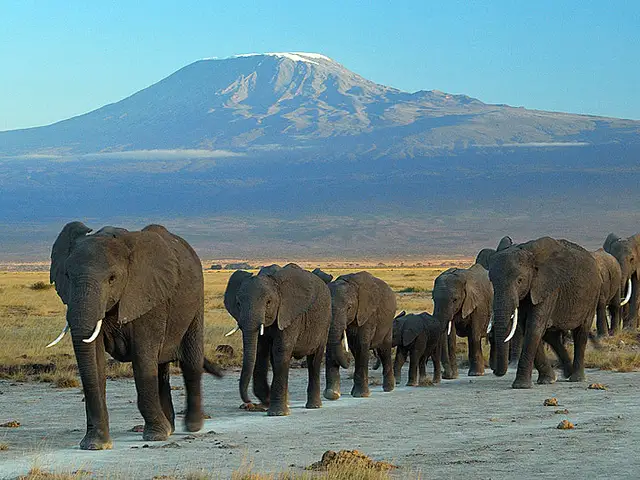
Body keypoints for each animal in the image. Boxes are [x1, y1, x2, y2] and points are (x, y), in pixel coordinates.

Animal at [48, 222, 222, 450]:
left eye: (112, 278)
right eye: (67, 276)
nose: (96, 441)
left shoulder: (149, 296)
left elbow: (143, 358)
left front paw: (156, 436)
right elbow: (95, 361)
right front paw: (95, 444)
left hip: (195, 302)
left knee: (190, 362)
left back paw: (191, 426)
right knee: (161, 368)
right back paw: (170, 427)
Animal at [223, 263, 332, 416]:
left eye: (268, 302)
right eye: (238, 303)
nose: (248, 403)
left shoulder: (290, 314)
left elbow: (281, 350)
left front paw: (277, 412)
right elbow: (260, 350)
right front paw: (269, 403)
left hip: (325, 321)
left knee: (314, 360)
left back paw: (314, 406)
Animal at [488, 237, 600, 389]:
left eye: (519, 280)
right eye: (492, 282)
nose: (495, 371)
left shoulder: (547, 288)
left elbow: (534, 327)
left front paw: (521, 386)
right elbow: (528, 328)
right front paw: (547, 380)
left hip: (592, 296)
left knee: (581, 332)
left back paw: (577, 378)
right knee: (551, 336)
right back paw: (567, 374)